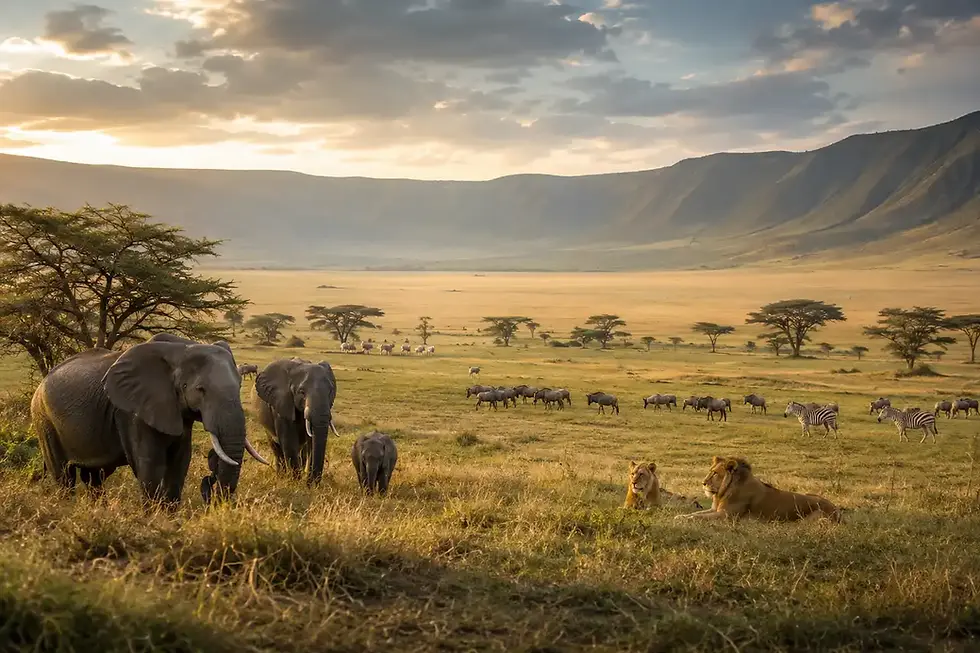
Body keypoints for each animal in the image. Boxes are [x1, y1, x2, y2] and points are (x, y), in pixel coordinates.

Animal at [30, 333, 268, 507]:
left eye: (239, 385)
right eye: (200, 389)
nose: (210, 478)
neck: (182, 348)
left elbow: (180, 461)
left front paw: (169, 519)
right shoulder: (131, 411)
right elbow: (150, 463)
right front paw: (153, 518)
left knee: (94, 476)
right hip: (44, 419)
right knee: (63, 475)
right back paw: (66, 507)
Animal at [250, 357, 339, 485]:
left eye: (330, 391)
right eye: (301, 392)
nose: (311, 484)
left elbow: (311, 442)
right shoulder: (281, 404)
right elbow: (289, 441)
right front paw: (295, 483)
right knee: (276, 448)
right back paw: (281, 476)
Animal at [674, 455, 842, 523]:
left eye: (715, 473)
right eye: (711, 470)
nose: (703, 483)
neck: (724, 492)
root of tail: (837, 510)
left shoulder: (726, 516)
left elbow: (699, 517)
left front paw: (682, 519)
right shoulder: (715, 510)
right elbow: (696, 513)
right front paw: (681, 516)